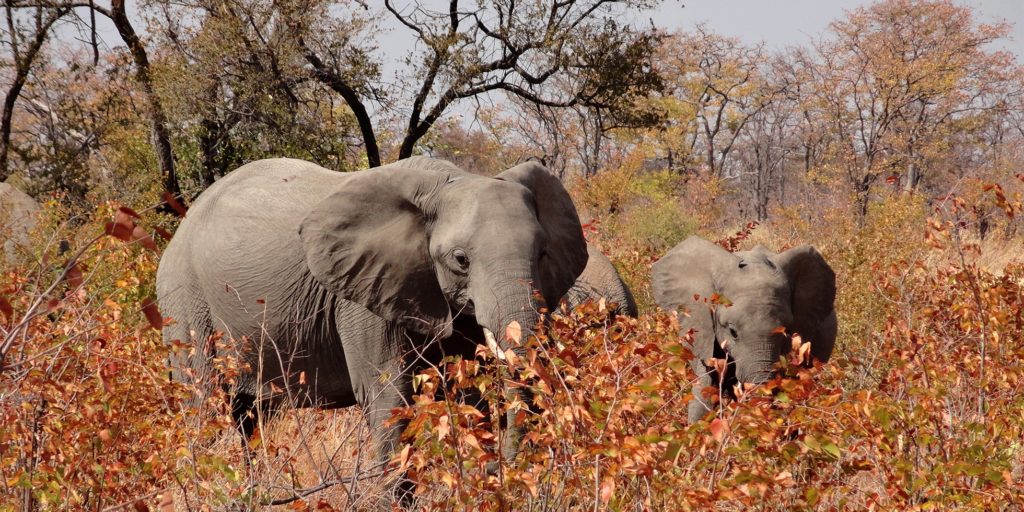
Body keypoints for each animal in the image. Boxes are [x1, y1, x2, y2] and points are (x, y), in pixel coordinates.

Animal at [151, 154, 585, 464]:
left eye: (543, 253)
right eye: (461, 260)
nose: (510, 464)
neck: (448, 181)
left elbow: (469, 394)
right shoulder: (361, 299)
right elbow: (389, 399)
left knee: (251, 417)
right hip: (184, 300)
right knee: (204, 402)